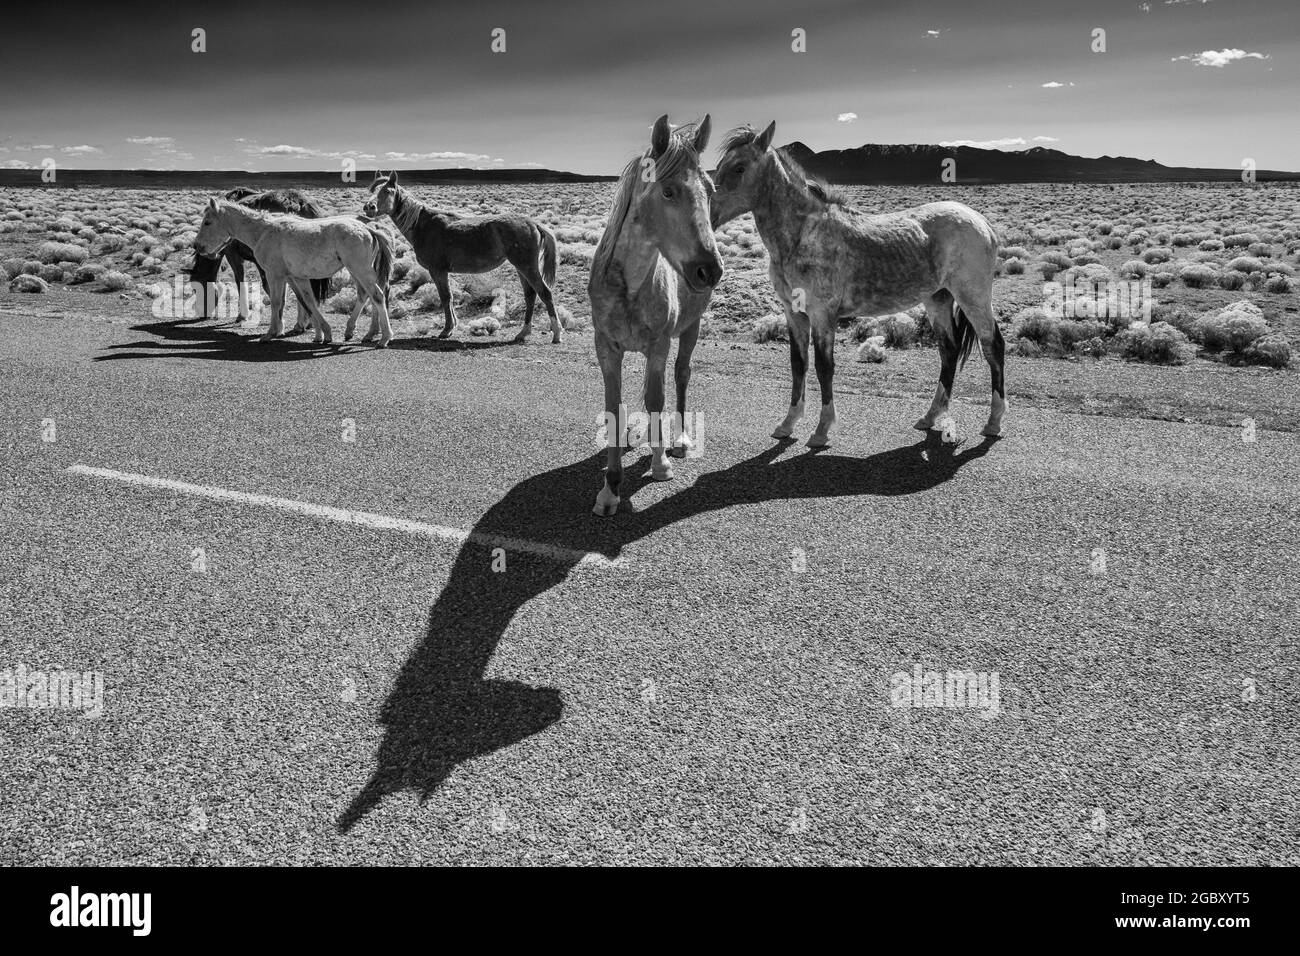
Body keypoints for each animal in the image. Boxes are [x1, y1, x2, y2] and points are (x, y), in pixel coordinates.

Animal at [186, 188, 330, 329]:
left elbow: (243, 282)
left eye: (195, 288)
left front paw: (244, 315)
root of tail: (302, 203)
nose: (201, 313)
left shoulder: (235, 256)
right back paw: (305, 322)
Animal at [193, 199, 394, 346]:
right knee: (365, 295)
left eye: (207, 222)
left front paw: (271, 333)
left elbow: (277, 302)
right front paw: (323, 334)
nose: (197, 246)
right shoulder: (296, 277)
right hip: (356, 272)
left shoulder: (274, 275)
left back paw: (384, 338)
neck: (263, 232)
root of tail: (369, 229)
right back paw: (355, 331)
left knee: (377, 295)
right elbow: (308, 301)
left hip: (360, 270)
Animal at [363, 171, 562, 343]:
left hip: (526, 266)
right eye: (373, 191)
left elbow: (445, 297)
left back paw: (557, 333)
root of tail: (533, 223)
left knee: (545, 293)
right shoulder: (442, 272)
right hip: (521, 268)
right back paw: (523, 333)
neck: (423, 225)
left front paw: (447, 329)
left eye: (387, 191)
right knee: (530, 295)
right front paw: (451, 326)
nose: (368, 207)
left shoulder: (438, 271)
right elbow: (449, 297)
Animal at [588, 114, 724, 517]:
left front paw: (660, 462)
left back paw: (676, 439)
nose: (710, 270)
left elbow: (656, 399)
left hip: (691, 328)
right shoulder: (606, 347)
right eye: (667, 192)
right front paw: (610, 489)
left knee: (680, 377)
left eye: (709, 190)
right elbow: (614, 405)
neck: (630, 284)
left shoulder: (659, 344)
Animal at [710, 121, 1007, 444]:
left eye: (739, 168)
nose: (707, 213)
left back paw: (994, 422)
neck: (802, 235)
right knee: (949, 351)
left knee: (993, 346)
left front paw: (822, 429)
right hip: (938, 299)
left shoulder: (822, 315)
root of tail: (981, 221)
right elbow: (798, 365)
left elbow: (824, 367)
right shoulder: (794, 314)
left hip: (973, 297)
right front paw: (788, 423)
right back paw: (930, 417)